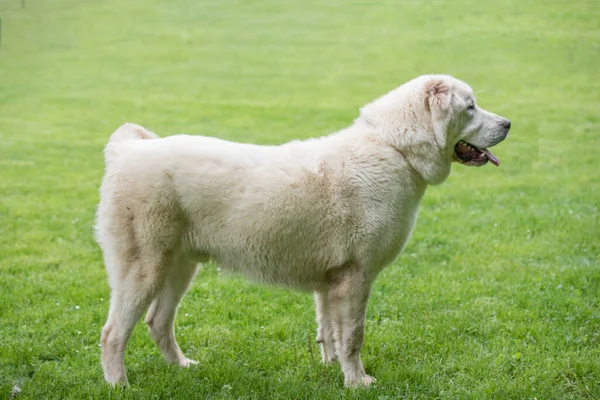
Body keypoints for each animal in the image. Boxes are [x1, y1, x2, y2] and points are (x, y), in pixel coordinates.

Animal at [96, 74, 508, 388]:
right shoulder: (356, 276)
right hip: (144, 269)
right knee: (113, 333)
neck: (395, 148)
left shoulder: (331, 280)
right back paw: (120, 385)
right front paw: (358, 383)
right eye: (470, 107)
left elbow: (330, 332)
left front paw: (331, 370)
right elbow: (353, 336)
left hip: (179, 267)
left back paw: (183, 368)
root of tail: (126, 152)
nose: (507, 124)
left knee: (157, 322)